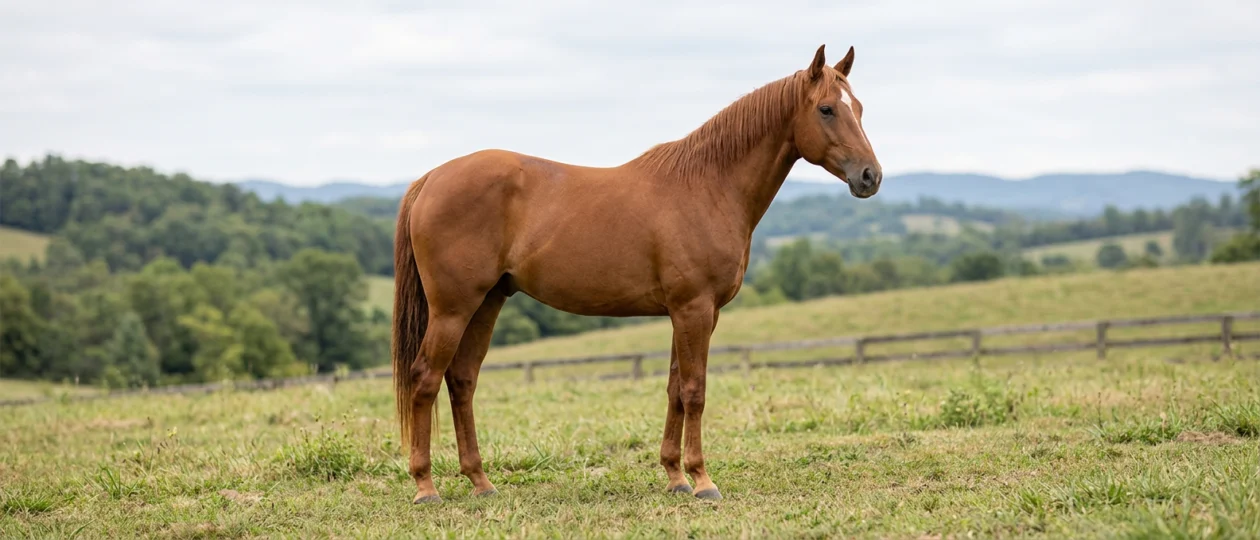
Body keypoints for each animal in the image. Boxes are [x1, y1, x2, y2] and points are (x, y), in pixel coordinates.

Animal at [392, 44, 882, 503]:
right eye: (826, 108)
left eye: (858, 107)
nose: (870, 177)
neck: (708, 185)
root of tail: (430, 179)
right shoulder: (694, 309)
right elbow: (695, 390)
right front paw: (703, 480)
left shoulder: (693, 314)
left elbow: (674, 389)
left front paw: (675, 477)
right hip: (453, 309)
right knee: (425, 379)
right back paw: (425, 486)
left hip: (487, 302)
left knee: (462, 381)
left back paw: (480, 481)